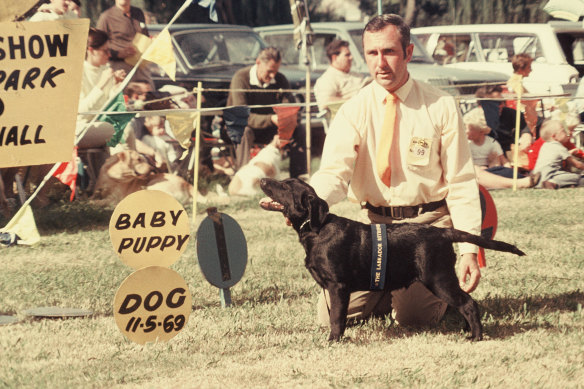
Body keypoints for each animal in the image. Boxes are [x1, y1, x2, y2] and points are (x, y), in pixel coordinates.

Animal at [260, 177, 524, 342]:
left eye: (284, 186)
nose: (262, 180)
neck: (317, 229)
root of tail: (442, 232)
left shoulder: (338, 287)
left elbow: (336, 318)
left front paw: (333, 341)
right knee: (465, 303)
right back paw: (467, 332)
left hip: (438, 278)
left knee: (468, 303)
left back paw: (476, 336)